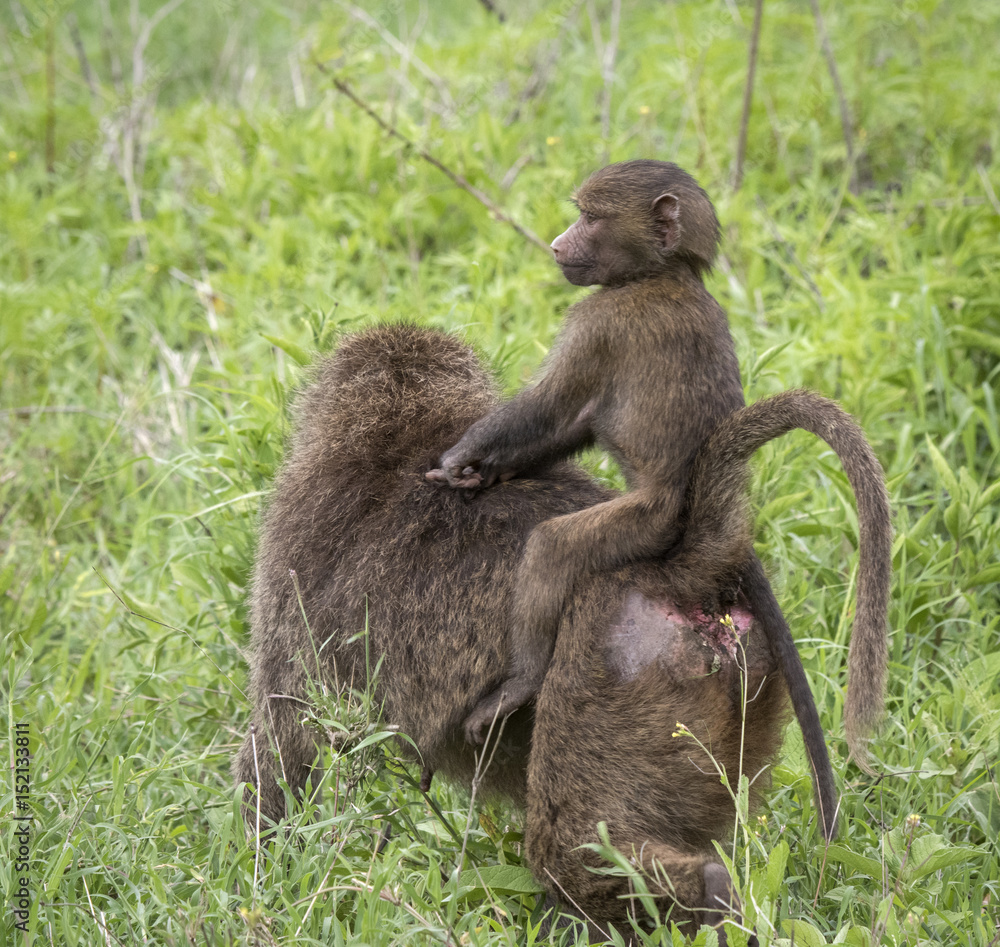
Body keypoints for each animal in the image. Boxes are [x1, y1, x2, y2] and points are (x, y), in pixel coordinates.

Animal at [427, 160, 892, 843]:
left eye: (590, 217)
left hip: (641, 525)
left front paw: (459, 460)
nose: (557, 246)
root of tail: (699, 525)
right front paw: (475, 471)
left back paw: (520, 683)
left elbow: (550, 409)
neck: (664, 274)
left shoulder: (601, 321)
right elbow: (567, 428)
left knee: (553, 547)